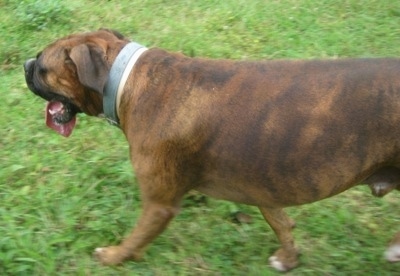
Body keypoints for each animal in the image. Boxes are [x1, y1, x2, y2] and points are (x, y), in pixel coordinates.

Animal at [24, 29, 400, 270]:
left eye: (42, 67)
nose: (26, 64)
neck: (127, 81)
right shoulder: (263, 182)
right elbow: (280, 222)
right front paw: (289, 258)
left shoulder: (159, 205)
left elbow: (134, 241)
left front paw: (112, 257)